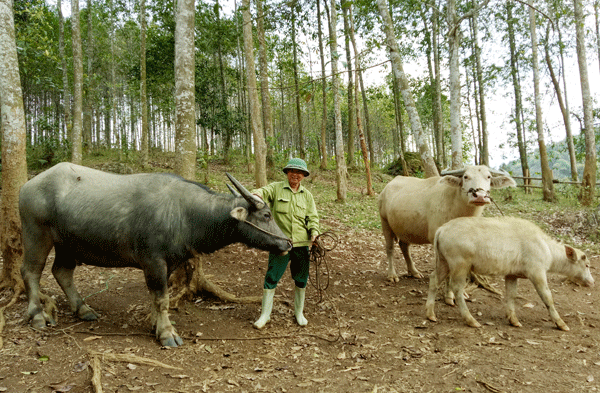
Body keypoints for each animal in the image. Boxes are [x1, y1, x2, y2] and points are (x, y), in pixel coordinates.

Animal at [18, 162, 290, 346]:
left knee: (62, 272)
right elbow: (162, 299)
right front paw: (167, 333)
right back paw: (38, 315)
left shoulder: (167, 264)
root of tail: (27, 186)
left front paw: (154, 325)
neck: (184, 213)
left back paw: (83, 309)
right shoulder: (153, 261)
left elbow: (157, 297)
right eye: (266, 214)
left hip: (66, 244)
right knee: (30, 272)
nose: (287, 242)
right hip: (36, 235)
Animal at [380, 164, 516, 280]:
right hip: (384, 221)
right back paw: (392, 275)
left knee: (404, 246)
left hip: (404, 228)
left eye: (488, 177)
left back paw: (414, 272)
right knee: (390, 248)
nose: (480, 196)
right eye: (466, 177)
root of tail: (386, 188)